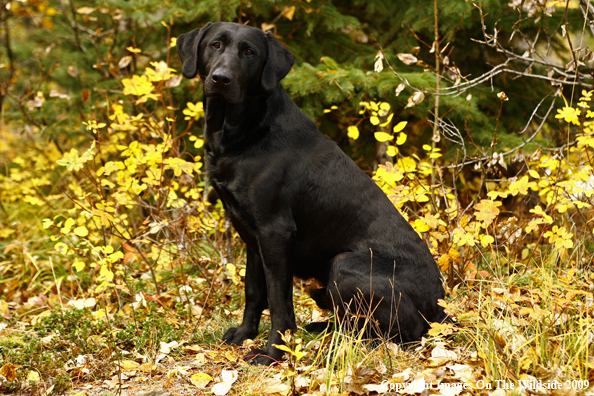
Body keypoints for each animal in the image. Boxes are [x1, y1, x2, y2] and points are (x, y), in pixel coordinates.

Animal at [178, 21, 446, 366]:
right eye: (215, 45)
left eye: (249, 52)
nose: (221, 78)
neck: (244, 131)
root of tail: (441, 307)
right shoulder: (252, 235)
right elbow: (254, 291)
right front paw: (244, 334)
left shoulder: (275, 233)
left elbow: (279, 301)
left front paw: (272, 353)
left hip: (345, 265)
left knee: (405, 331)